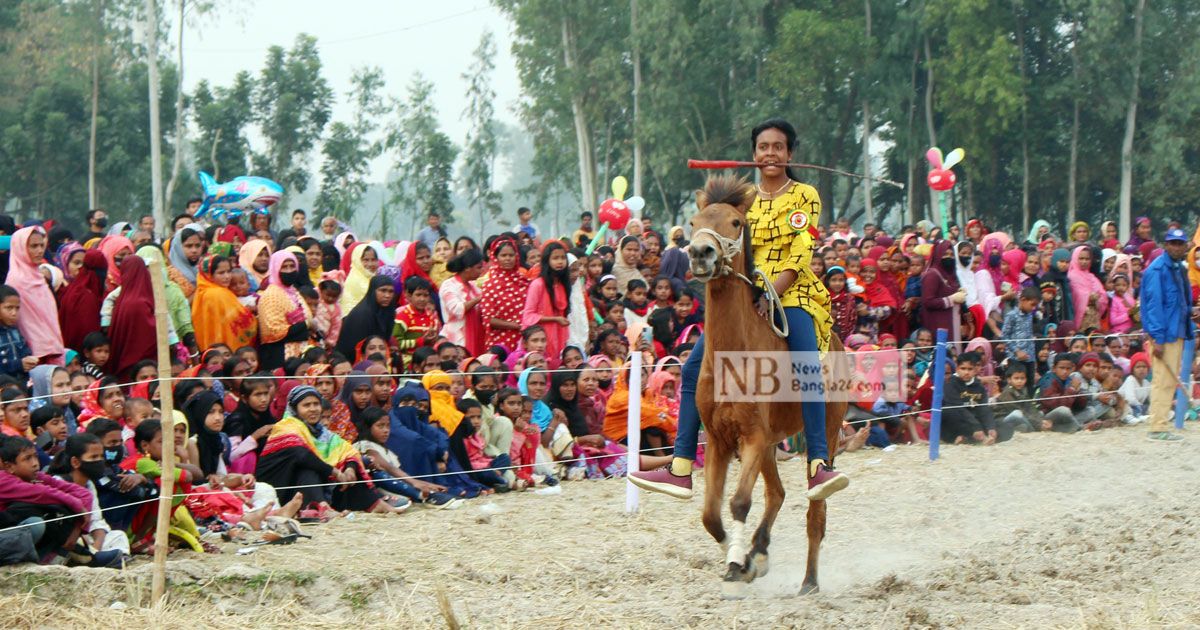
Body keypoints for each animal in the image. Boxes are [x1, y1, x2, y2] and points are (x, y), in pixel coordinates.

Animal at [686, 174, 844, 597]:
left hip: (826, 432)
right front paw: (741, 557)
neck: (734, 357)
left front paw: (739, 562)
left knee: (816, 512)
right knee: (777, 493)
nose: (701, 252)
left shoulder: (753, 437)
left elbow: (739, 502)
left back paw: (808, 581)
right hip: (772, 444)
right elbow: (710, 514)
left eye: (736, 222)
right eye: (693, 223)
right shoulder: (721, 439)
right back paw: (759, 550)